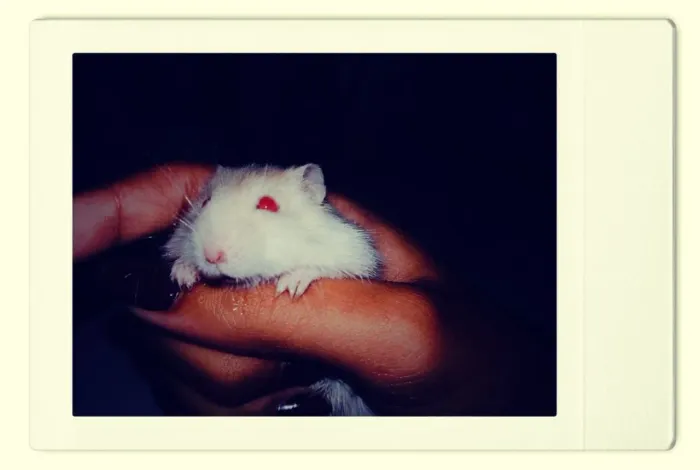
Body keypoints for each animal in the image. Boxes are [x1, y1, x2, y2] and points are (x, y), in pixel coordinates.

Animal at [162, 163, 382, 416]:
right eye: (205, 201)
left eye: (268, 204)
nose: (211, 255)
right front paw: (183, 275)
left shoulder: (355, 253)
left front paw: (289, 286)